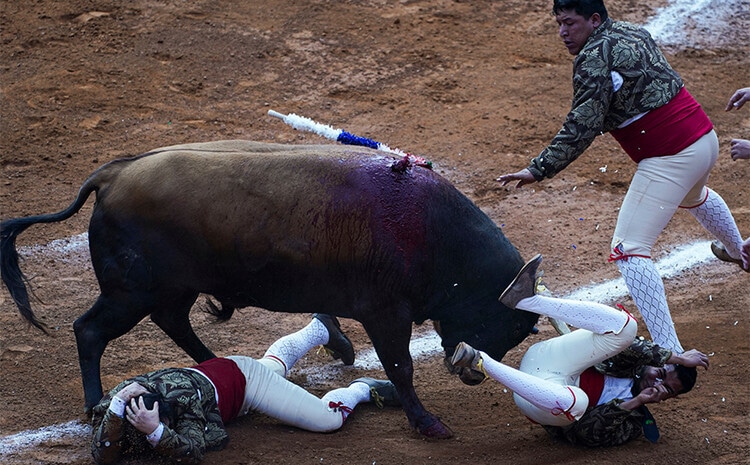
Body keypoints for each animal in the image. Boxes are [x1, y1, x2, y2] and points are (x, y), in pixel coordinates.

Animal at [1, 140, 540, 436]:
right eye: (506, 322)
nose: (472, 373)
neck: (432, 233)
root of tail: (112, 174)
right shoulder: (386, 312)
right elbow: (401, 367)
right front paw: (427, 424)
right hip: (129, 293)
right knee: (89, 330)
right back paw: (95, 405)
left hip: (171, 289)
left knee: (171, 321)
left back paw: (213, 363)